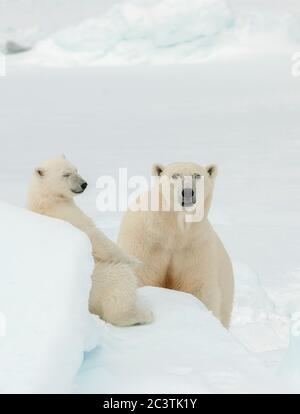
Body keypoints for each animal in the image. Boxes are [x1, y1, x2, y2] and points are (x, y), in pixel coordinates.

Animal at [26, 156, 151, 326]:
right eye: (65, 174)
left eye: (75, 169)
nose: (84, 184)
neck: (46, 201)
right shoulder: (69, 216)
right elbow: (96, 237)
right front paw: (134, 261)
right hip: (98, 281)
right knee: (121, 280)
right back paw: (142, 315)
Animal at [118, 162, 234, 326]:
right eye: (175, 175)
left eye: (197, 175)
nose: (188, 192)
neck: (173, 232)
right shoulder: (145, 241)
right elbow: (142, 275)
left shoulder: (194, 246)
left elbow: (197, 285)